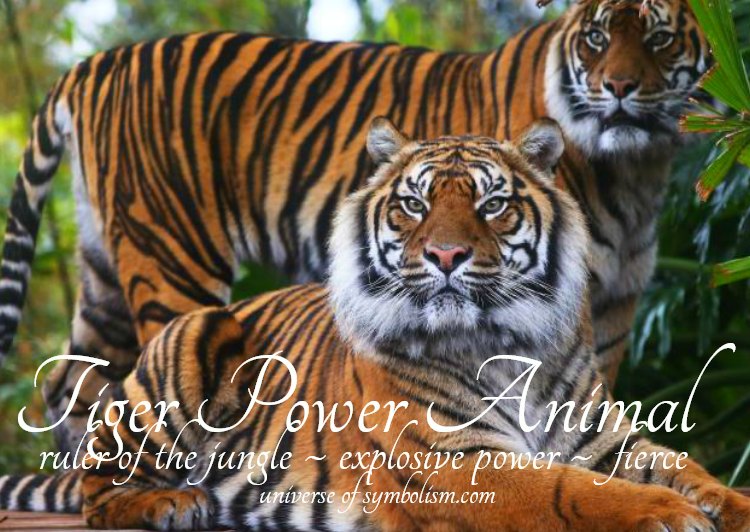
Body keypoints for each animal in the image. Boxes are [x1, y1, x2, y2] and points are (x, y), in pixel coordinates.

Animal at [0, 0, 710, 457]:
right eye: (596, 39)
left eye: (659, 40)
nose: (617, 87)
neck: (635, 168)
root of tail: (94, 64)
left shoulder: (614, 301)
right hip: (170, 256)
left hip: (105, 270)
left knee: (70, 384)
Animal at [2, 119, 748, 531]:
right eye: (414, 204)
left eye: (493, 204)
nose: (445, 256)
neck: (511, 344)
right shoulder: (451, 460)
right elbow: (571, 491)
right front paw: (665, 515)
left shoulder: (606, 439)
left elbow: (687, 467)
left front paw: (722, 504)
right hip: (194, 336)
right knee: (97, 486)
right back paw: (170, 504)